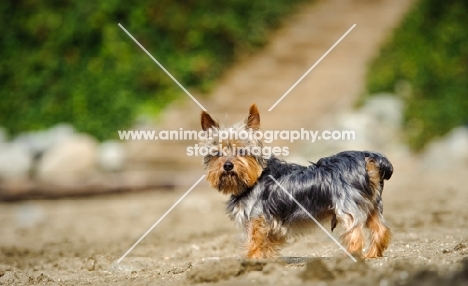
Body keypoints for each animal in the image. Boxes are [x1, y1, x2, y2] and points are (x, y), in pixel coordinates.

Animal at [199, 104, 394, 258]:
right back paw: (371, 255)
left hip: (347, 206)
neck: (253, 181)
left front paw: (252, 262)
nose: (228, 165)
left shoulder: (257, 220)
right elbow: (267, 246)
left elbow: (255, 244)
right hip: (372, 204)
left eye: (242, 151)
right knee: (381, 229)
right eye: (217, 154)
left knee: (355, 235)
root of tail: (367, 156)